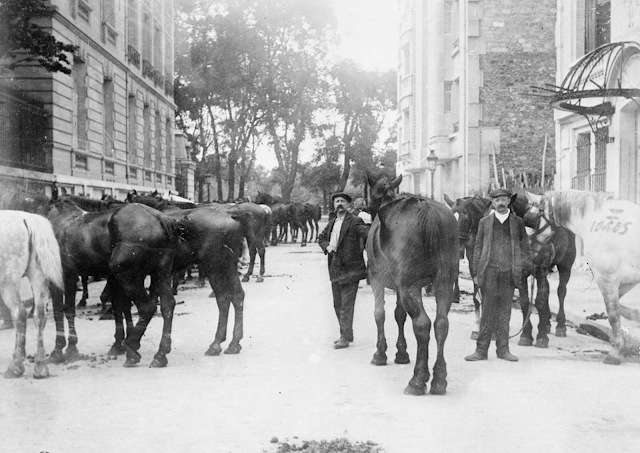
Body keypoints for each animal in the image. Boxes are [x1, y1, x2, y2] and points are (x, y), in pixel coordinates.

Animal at [0, 211, 63, 378]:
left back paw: (15, 366)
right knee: (39, 315)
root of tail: (26, 218)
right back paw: (40, 366)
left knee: (19, 314)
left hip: (8, 283)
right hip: (38, 276)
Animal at [364, 173, 460, 396]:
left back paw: (418, 379)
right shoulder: (400, 286)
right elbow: (399, 315)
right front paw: (401, 352)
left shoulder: (377, 279)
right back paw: (439, 379)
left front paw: (380, 353)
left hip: (410, 286)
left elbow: (379, 314)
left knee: (422, 324)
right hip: (444, 282)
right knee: (441, 323)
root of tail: (427, 210)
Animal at [528, 190, 640, 364]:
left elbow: (613, 313)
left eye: (533, 221)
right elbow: (620, 309)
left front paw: (616, 351)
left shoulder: (607, 279)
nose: (531, 251)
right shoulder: (626, 281)